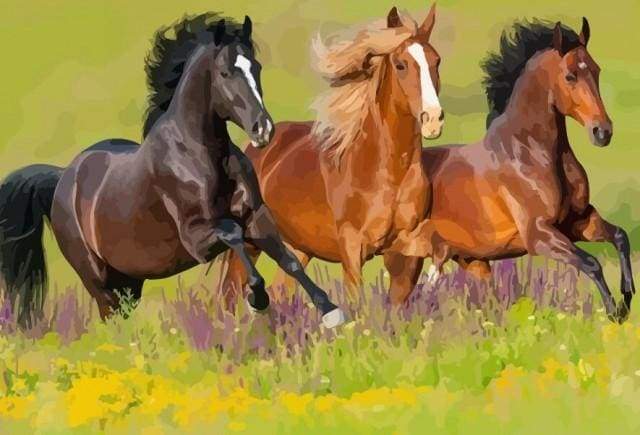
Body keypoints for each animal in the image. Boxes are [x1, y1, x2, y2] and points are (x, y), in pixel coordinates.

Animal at [0, 13, 345, 329]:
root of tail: (62, 178)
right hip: (98, 280)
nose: (263, 130)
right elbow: (233, 234)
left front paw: (331, 311)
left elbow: (290, 260)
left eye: (256, 67)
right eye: (225, 72)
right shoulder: (196, 238)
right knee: (111, 318)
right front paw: (258, 299)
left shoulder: (257, 217)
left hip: (130, 281)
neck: (201, 156)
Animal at [220, 4, 444, 307]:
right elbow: (357, 302)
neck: (386, 171)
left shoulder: (405, 247)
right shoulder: (352, 248)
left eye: (436, 61)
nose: (433, 119)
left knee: (281, 291)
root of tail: (251, 148)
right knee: (229, 295)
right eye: (401, 65)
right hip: (249, 243)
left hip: (296, 247)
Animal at [385, 18, 635, 322]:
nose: (603, 132)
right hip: (406, 263)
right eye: (570, 76)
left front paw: (627, 296)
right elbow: (591, 262)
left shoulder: (578, 221)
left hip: (471, 262)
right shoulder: (539, 235)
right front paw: (615, 312)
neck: (530, 153)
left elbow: (620, 237)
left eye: (596, 70)